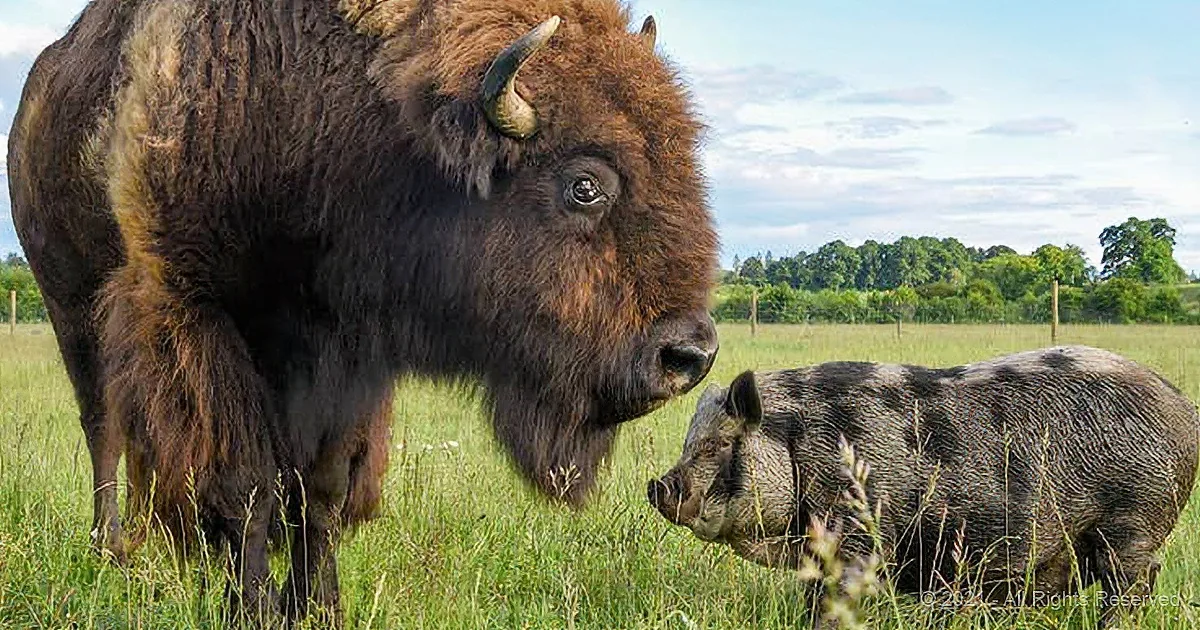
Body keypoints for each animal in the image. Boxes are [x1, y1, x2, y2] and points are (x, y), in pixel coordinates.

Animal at [8, 0, 719, 625]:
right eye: (584, 185)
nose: (691, 355)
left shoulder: (342, 353)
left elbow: (320, 488)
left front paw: (319, 607)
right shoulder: (193, 313)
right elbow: (243, 485)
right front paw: (255, 610)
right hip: (72, 306)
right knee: (104, 428)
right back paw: (112, 551)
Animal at [649, 346, 1199, 629]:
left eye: (719, 444)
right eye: (690, 440)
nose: (657, 485)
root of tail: (1183, 408)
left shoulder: (859, 534)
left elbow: (838, 601)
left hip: (1134, 523)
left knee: (1134, 585)